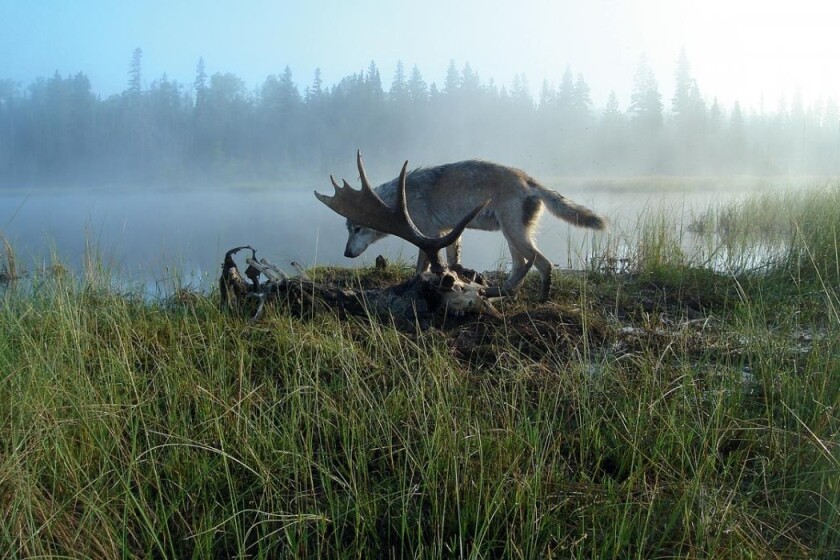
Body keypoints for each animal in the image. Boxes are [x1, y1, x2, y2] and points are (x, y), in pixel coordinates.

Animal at [340, 159, 607, 300]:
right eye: (348, 229)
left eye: (357, 229)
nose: (346, 254)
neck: (396, 202)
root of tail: (531, 181)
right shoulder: (447, 232)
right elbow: (452, 260)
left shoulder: (427, 234)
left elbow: (421, 265)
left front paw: (416, 283)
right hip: (511, 236)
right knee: (523, 265)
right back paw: (505, 292)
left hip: (515, 235)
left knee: (543, 264)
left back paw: (535, 299)